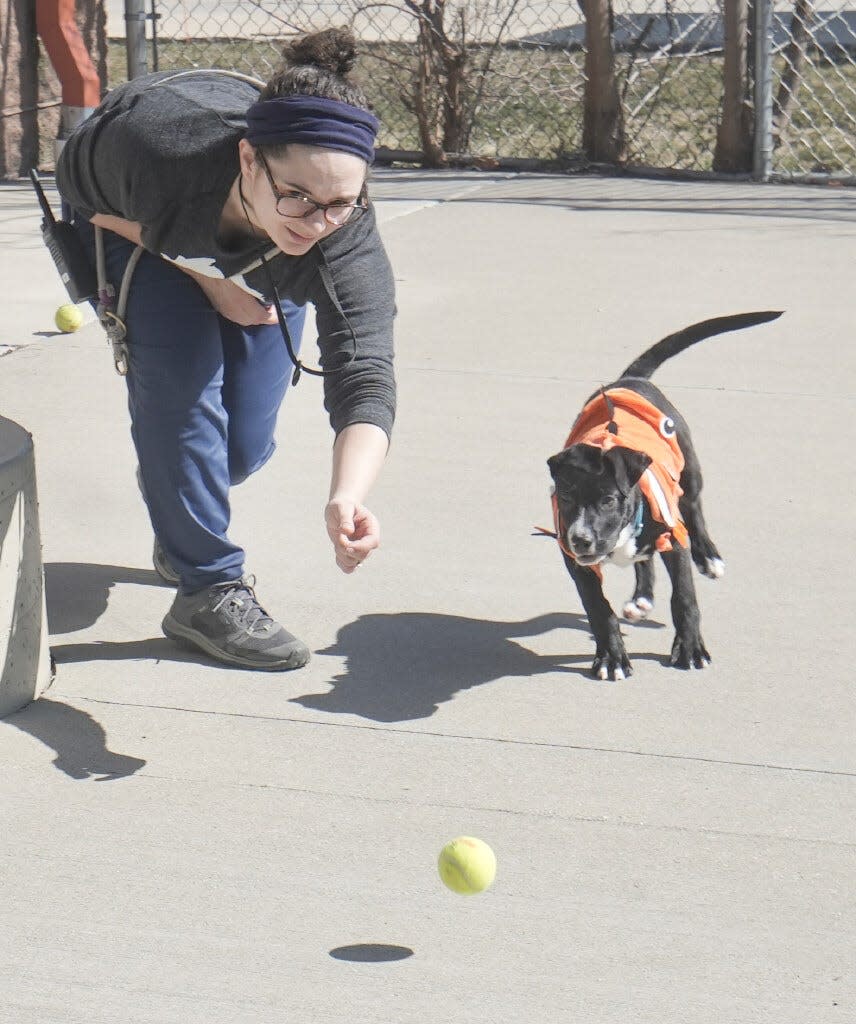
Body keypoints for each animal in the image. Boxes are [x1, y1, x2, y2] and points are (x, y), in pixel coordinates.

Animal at [548, 311, 782, 679]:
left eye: (608, 500)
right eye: (567, 498)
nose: (581, 539)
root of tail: (629, 380)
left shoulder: (673, 537)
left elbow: (684, 598)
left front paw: (690, 649)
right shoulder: (575, 561)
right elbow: (598, 607)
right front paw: (611, 657)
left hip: (688, 472)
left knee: (695, 510)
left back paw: (708, 557)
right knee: (644, 559)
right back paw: (641, 598)